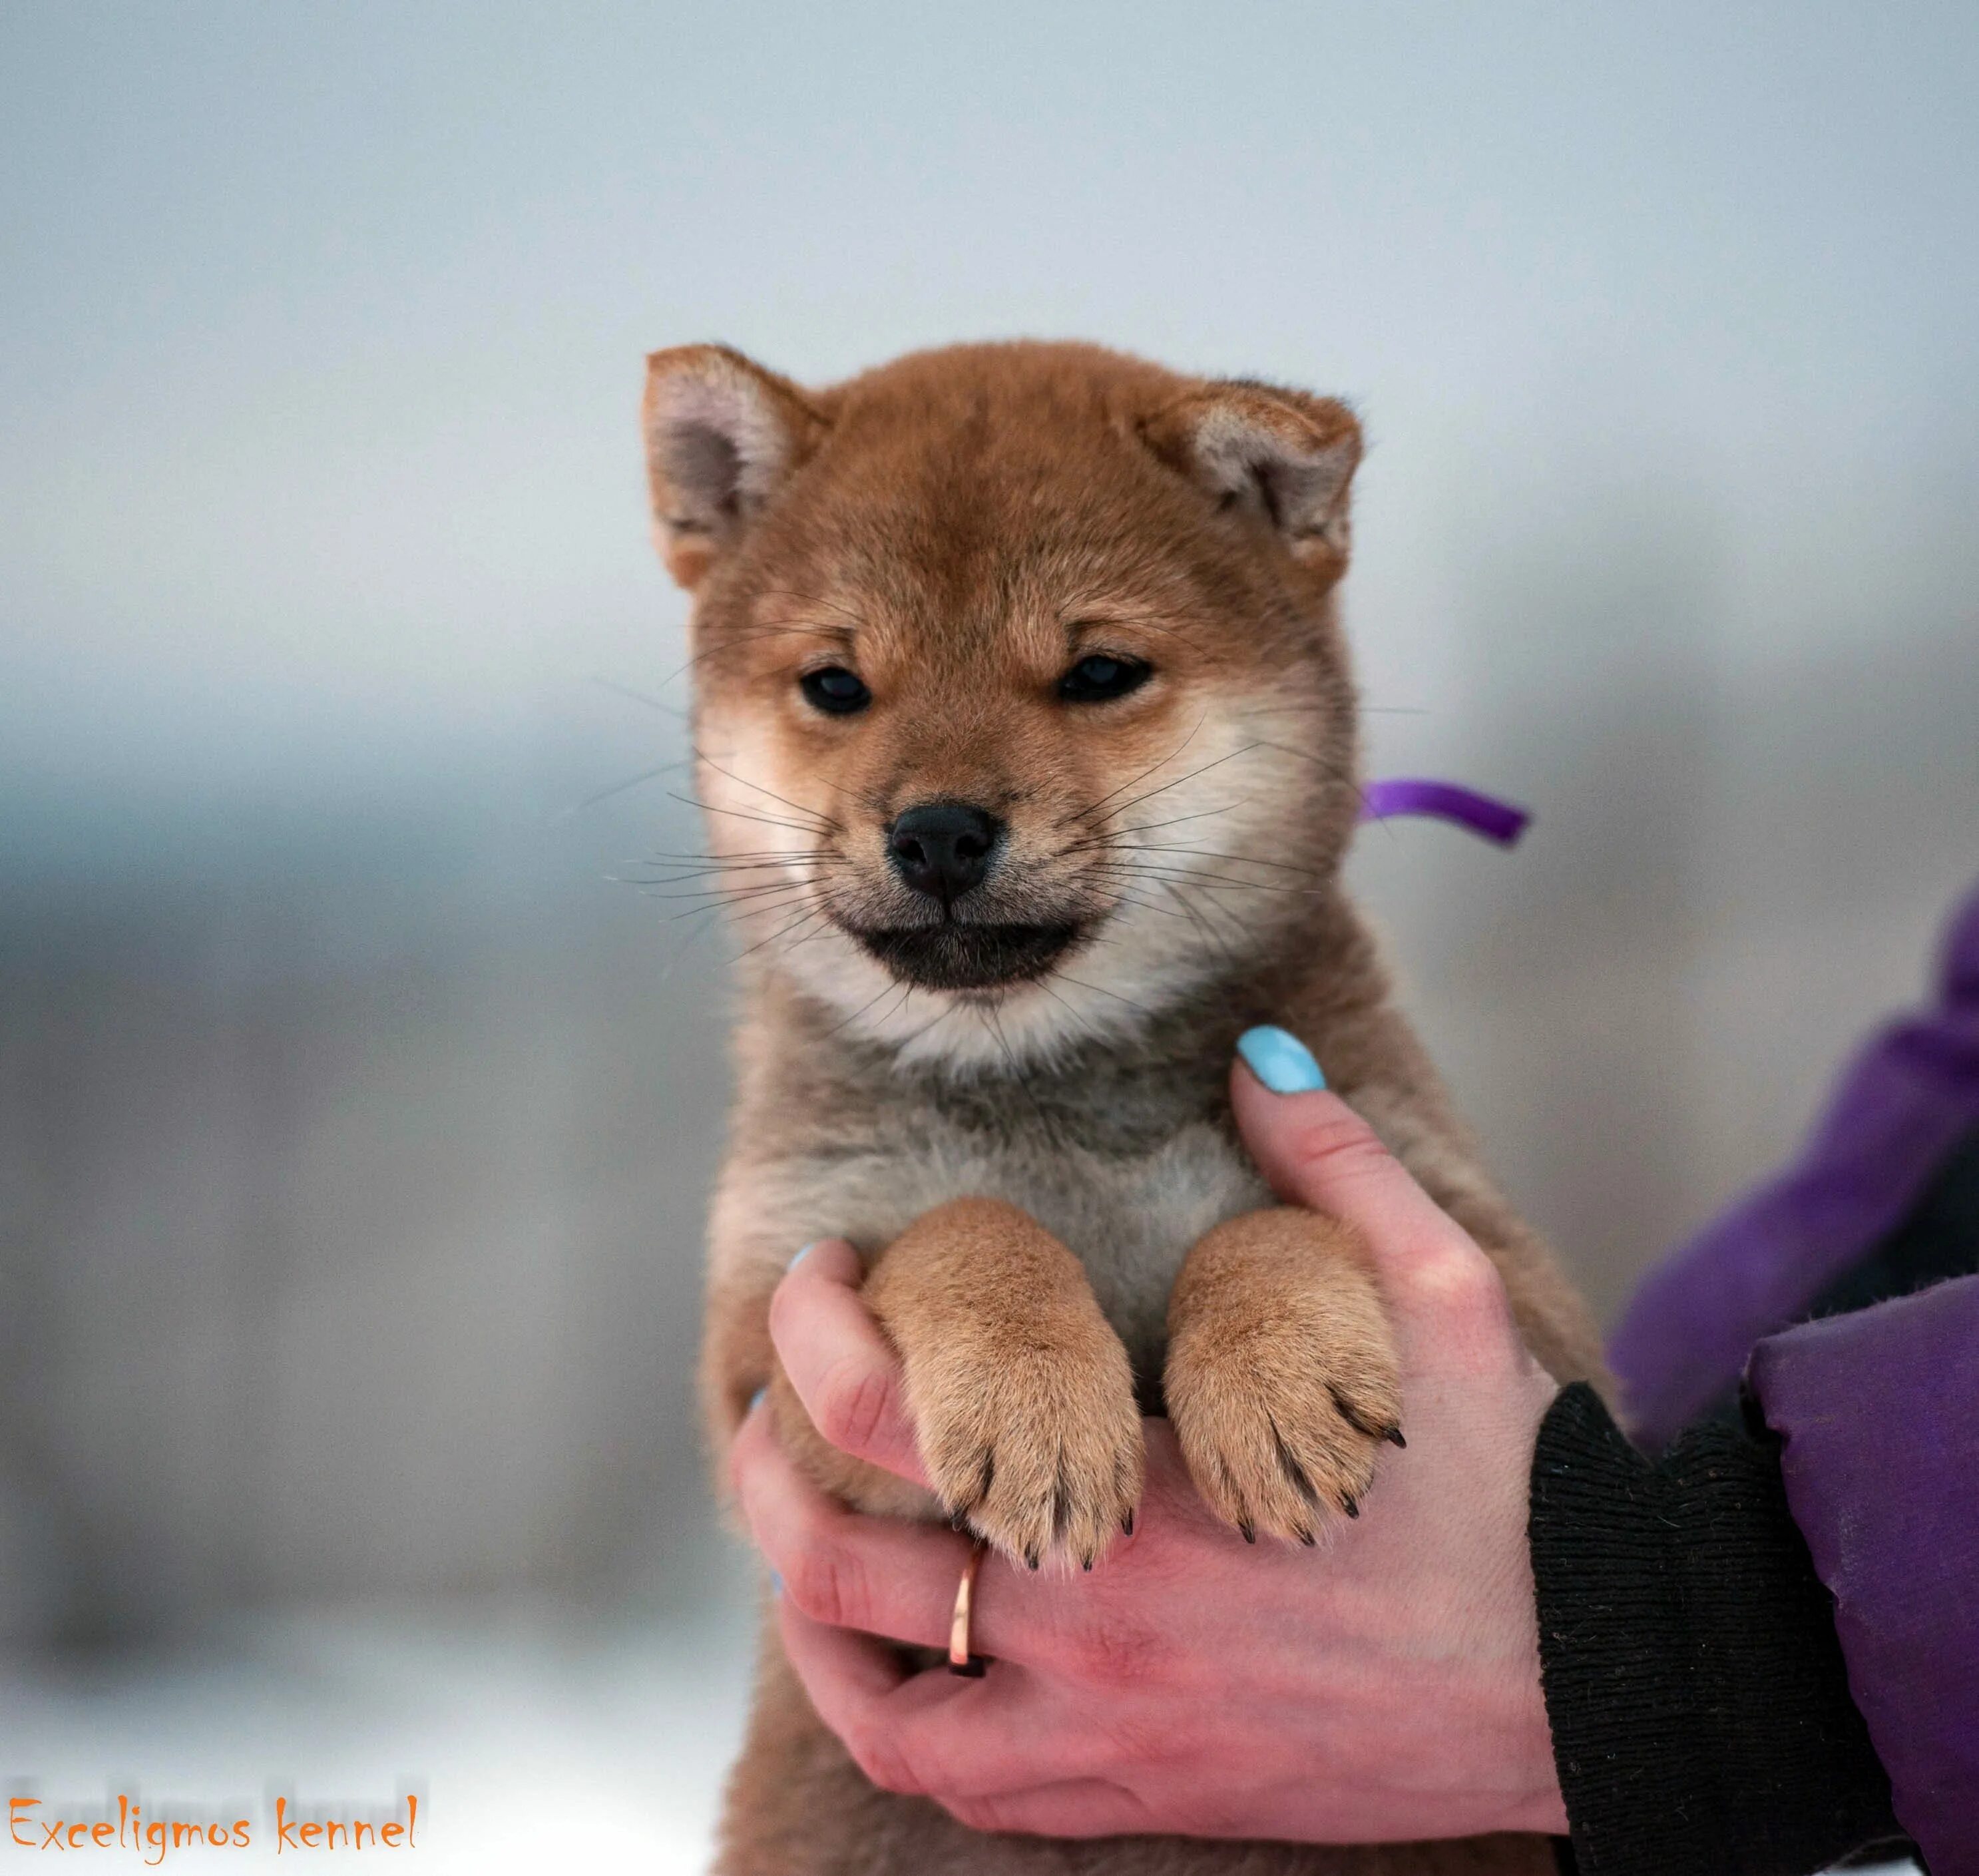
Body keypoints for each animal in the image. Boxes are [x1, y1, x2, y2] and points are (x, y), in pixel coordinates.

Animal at [649, 340, 1607, 1876]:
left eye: (1097, 671)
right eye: (835, 683)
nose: (936, 831)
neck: (1049, 1087)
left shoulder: (1509, 1282)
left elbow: (1267, 1225)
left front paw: (1275, 1381)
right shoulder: (763, 1343)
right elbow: (961, 1224)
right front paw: (1035, 1401)